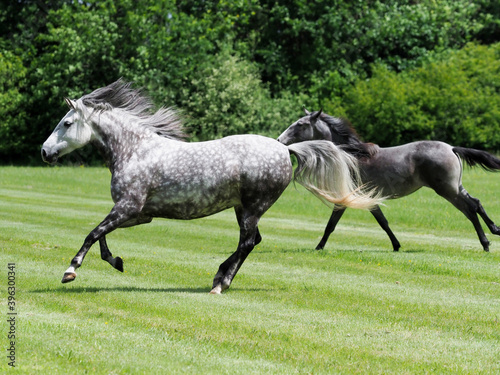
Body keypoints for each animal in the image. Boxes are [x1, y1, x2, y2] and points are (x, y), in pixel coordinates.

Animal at [42, 81, 378, 296]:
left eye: (67, 123)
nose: (45, 152)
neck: (135, 151)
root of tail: (285, 149)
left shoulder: (127, 208)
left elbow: (93, 233)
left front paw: (70, 271)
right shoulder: (137, 214)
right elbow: (101, 237)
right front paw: (117, 262)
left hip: (253, 207)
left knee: (247, 242)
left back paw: (220, 283)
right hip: (243, 208)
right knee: (252, 241)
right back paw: (219, 277)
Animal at [278, 110, 500, 254]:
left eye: (301, 124)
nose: (280, 140)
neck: (352, 156)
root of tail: (451, 148)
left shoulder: (346, 197)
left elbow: (331, 225)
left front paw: (318, 247)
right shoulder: (369, 198)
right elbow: (383, 222)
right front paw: (396, 246)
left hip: (447, 191)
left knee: (470, 209)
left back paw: (486, 243)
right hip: (456, 187)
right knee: (477, 203)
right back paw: (495, 230)